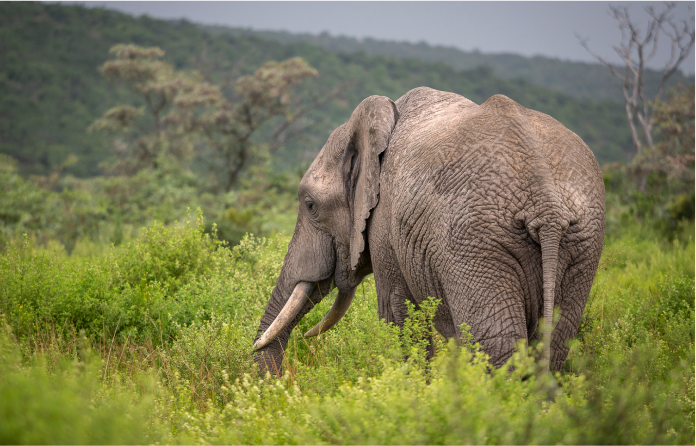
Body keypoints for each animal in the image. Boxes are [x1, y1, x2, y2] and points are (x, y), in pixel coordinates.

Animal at [253, 87, 605, 375]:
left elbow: (398, 318)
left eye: (310, 205)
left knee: (497, 347)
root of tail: (546, 204)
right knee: (554, 345)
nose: (279, 385)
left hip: (474, 243)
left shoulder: (385, 224)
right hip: (581, 244)